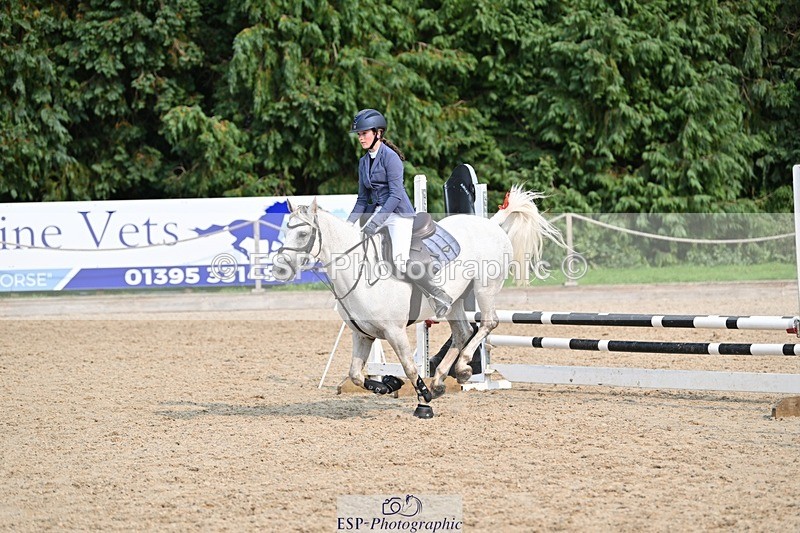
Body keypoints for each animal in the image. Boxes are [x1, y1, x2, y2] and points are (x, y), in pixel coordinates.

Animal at [271, 186, 565, 418]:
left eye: (302, 234)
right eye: (285, 230)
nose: (279, 269)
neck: (359, 270)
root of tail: (492, 223)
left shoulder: (395, 331)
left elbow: (411, 368)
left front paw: (424, 402)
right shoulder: (362, 335)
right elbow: (356, 373)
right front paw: (388, 384)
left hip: (485, 289)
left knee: (487, 324)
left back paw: (460, 368)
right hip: (455, 301)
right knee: (463, 333)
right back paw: (442, 379)